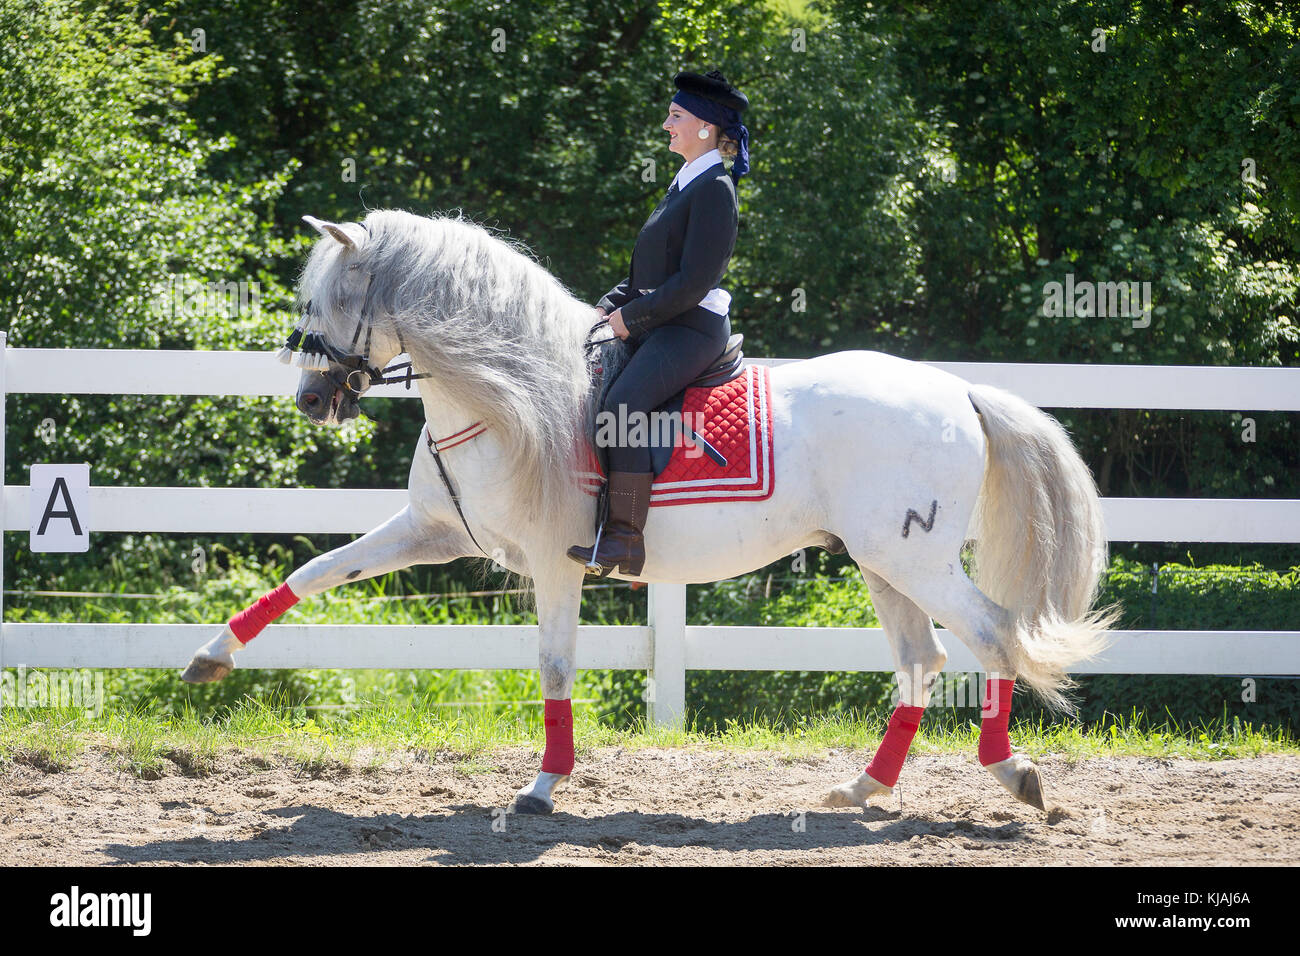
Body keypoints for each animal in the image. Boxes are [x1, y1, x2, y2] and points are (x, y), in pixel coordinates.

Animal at [182, 209, 1119, 815]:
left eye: (336, 301)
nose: (312, 401)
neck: (507, 395)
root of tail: (958, 390)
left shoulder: (555, 562)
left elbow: (555, 666)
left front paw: (541, 789)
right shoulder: (433, 531)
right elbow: (316, 569)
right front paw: (211, 656)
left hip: (912, 558)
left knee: (991, 634)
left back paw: (1011, 775)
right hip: (882, 562)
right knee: (922, 662)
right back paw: (862, 789)